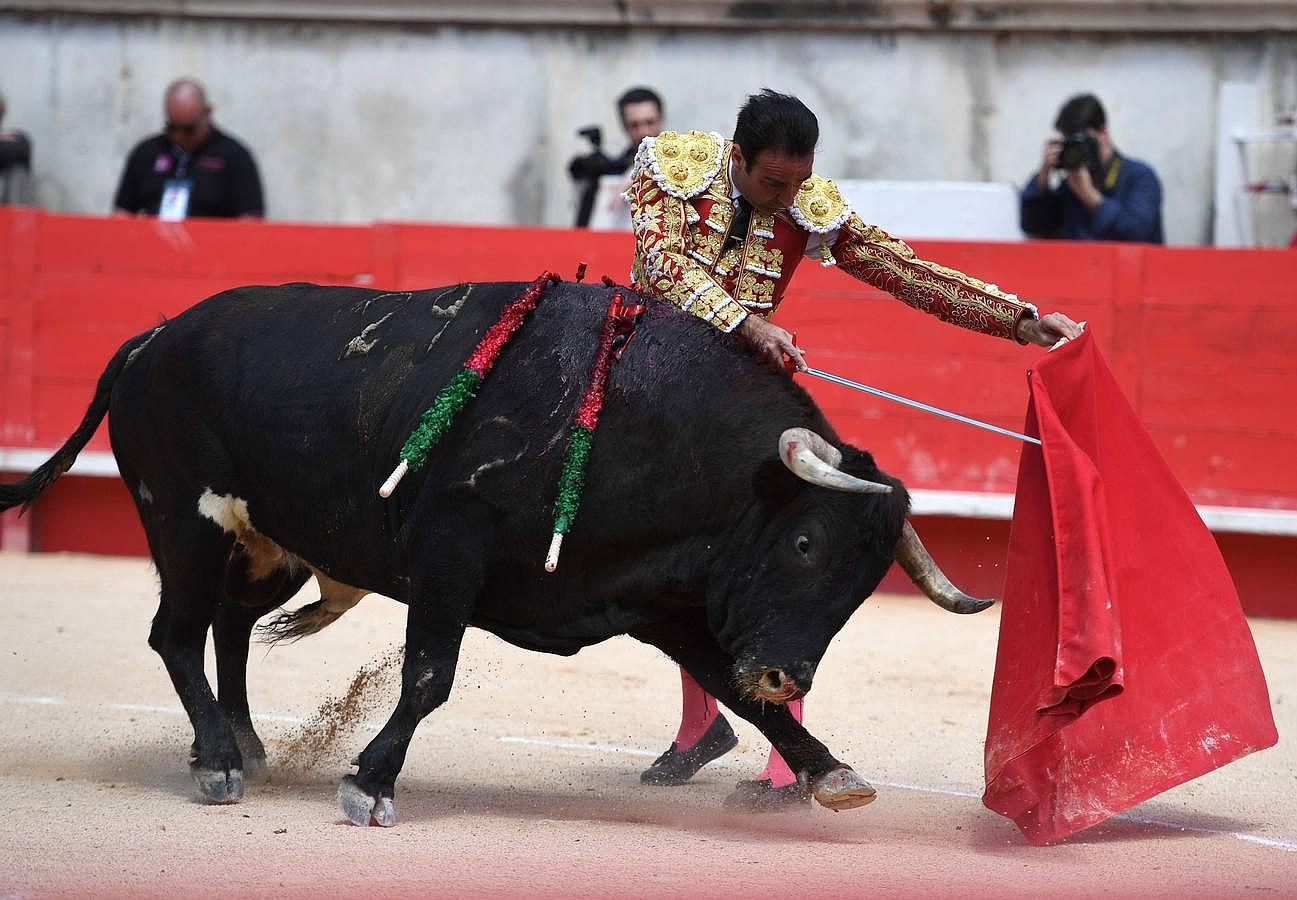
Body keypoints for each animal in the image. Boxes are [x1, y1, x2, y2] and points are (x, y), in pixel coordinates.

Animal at [2, 278, 990, 829]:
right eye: (804, 540)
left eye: (863, 584)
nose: (789, 671)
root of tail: (153, 337)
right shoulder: (451, 550)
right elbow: (428, 676)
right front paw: (370, 784)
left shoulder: (658, 602)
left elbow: (745, 702)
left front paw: (832, 773)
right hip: (184, 519)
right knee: (175, 632)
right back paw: (214, 762)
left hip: (268, 542)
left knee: (228, 628)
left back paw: (246, 746)